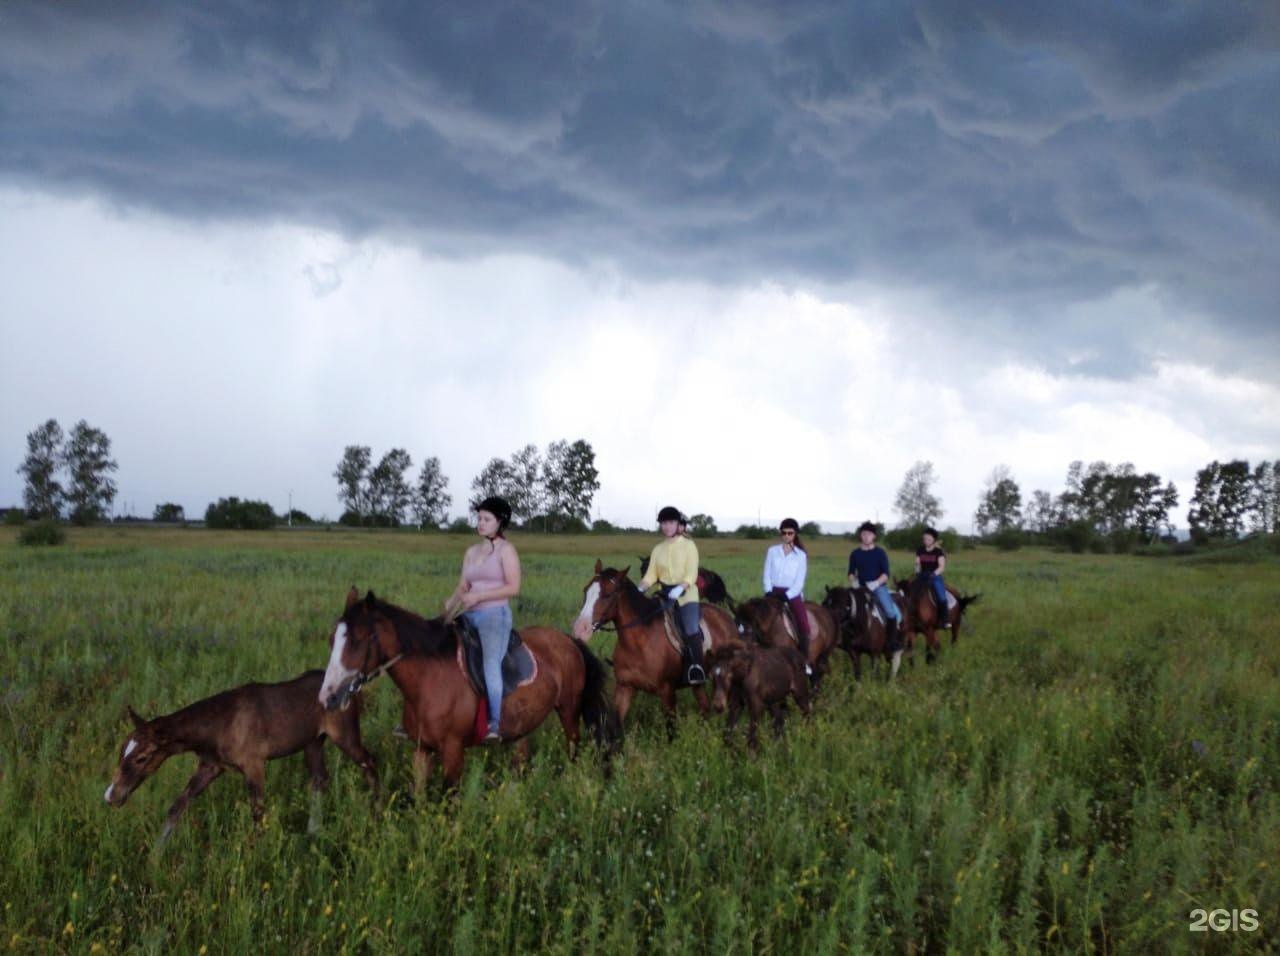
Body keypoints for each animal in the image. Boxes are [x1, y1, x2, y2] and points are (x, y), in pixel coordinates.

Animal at [104, 670, 373, 839]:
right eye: (121, 751)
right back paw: (313, 830)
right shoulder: (211, 766)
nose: (111, 795)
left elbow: (258, 815)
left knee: (369, 763)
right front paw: (154, 858)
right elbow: (176, 807)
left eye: (141, 757)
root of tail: (354, 688)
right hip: (313, 743)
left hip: (345, 734)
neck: (214, 730)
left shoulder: (254, 763)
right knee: (319, 780)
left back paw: (376, 814)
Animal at [322, 591, 616, 793]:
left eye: (359, 639)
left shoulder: (453, 751)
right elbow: (419, 798)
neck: (428, 678)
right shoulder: (422, 750)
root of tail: (568, 640)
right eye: (332, 639)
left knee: (573, 747)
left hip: (568, 710)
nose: (328, 697)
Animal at [570, 560, 742, 732]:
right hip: (698, 683)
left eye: (607, 595)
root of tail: (727, 618)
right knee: (705, 707)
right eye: (585, 591)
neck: (638, 643)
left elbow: (671, 729)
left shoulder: (667, 692)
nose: (580, 629)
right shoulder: (625, 687)